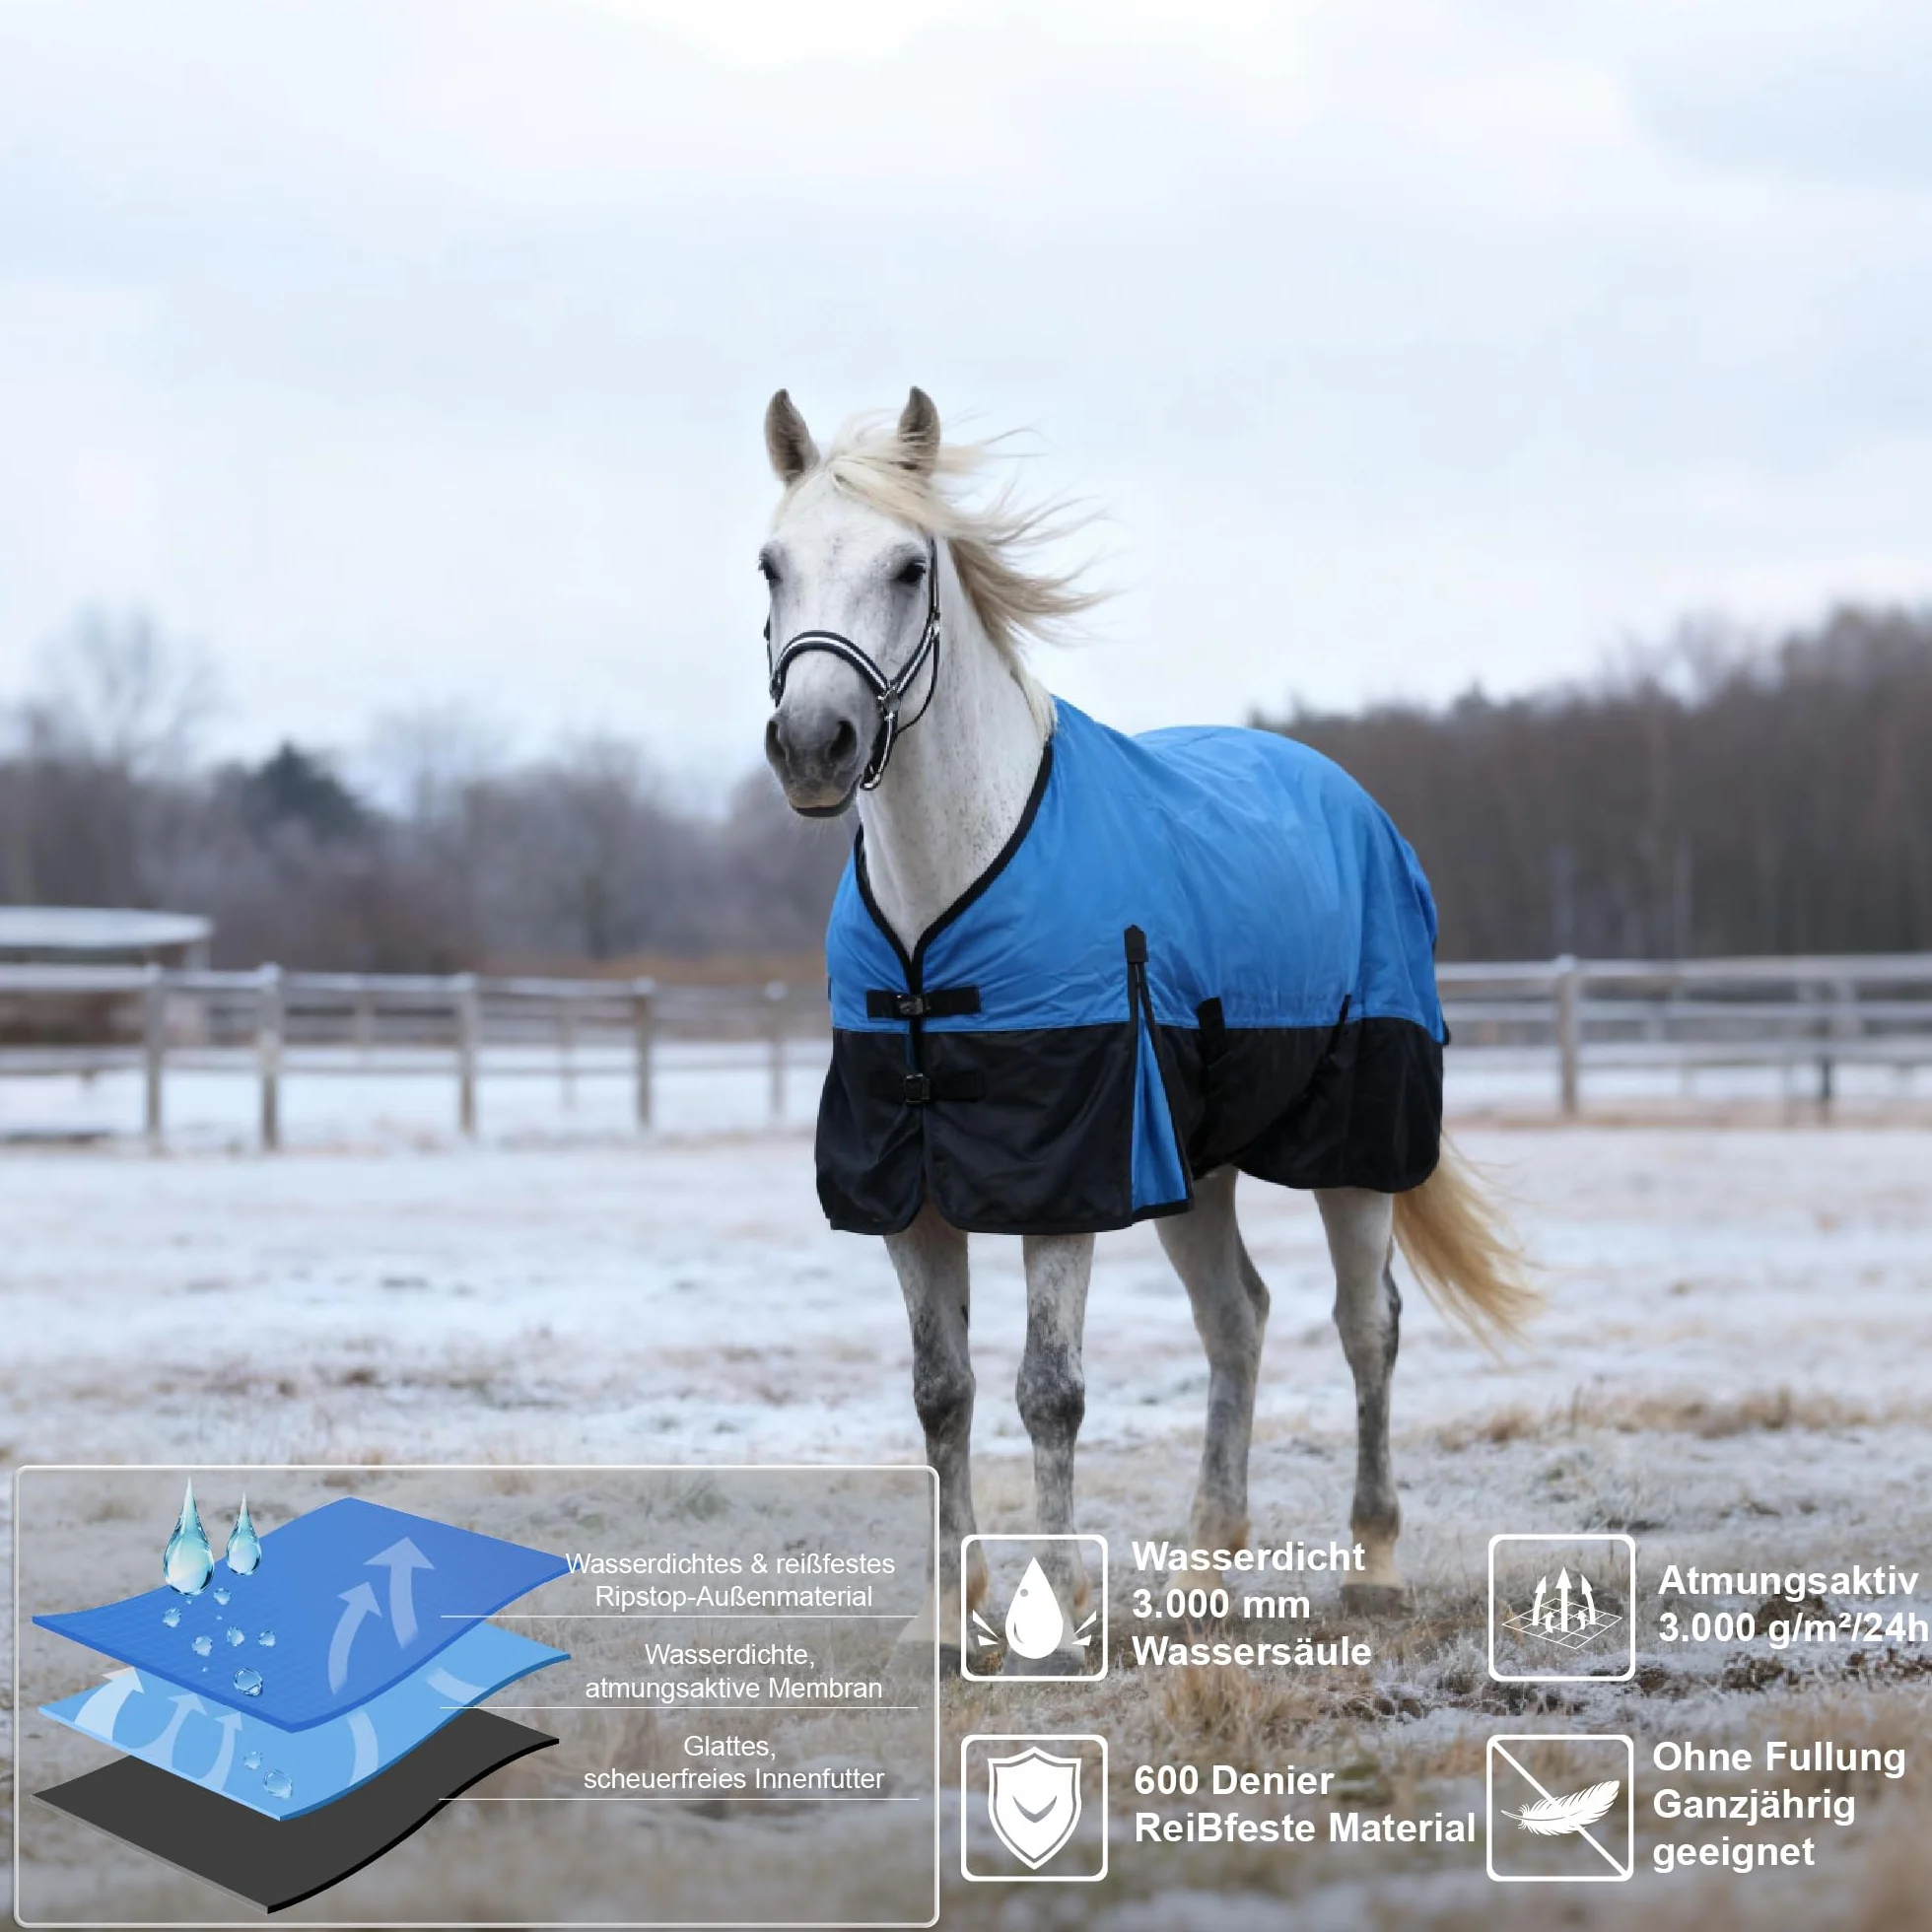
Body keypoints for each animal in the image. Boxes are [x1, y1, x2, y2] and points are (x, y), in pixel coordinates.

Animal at [758, 386, 1533, 1662]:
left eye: (910, 566)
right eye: (770, 565)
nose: (814, 745)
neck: (942, 904)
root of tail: (1349, 798)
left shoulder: (1064, 1175)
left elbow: (1048, 1390)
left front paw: (1059, 1612)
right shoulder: (910, 1187)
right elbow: (941, 1390)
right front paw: (944, 1616)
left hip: (1353, 1151)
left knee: (1364, 1325)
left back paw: (1370, 1560)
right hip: (1197, 1164)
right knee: (1237, 1321)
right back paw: (1203, 1569)